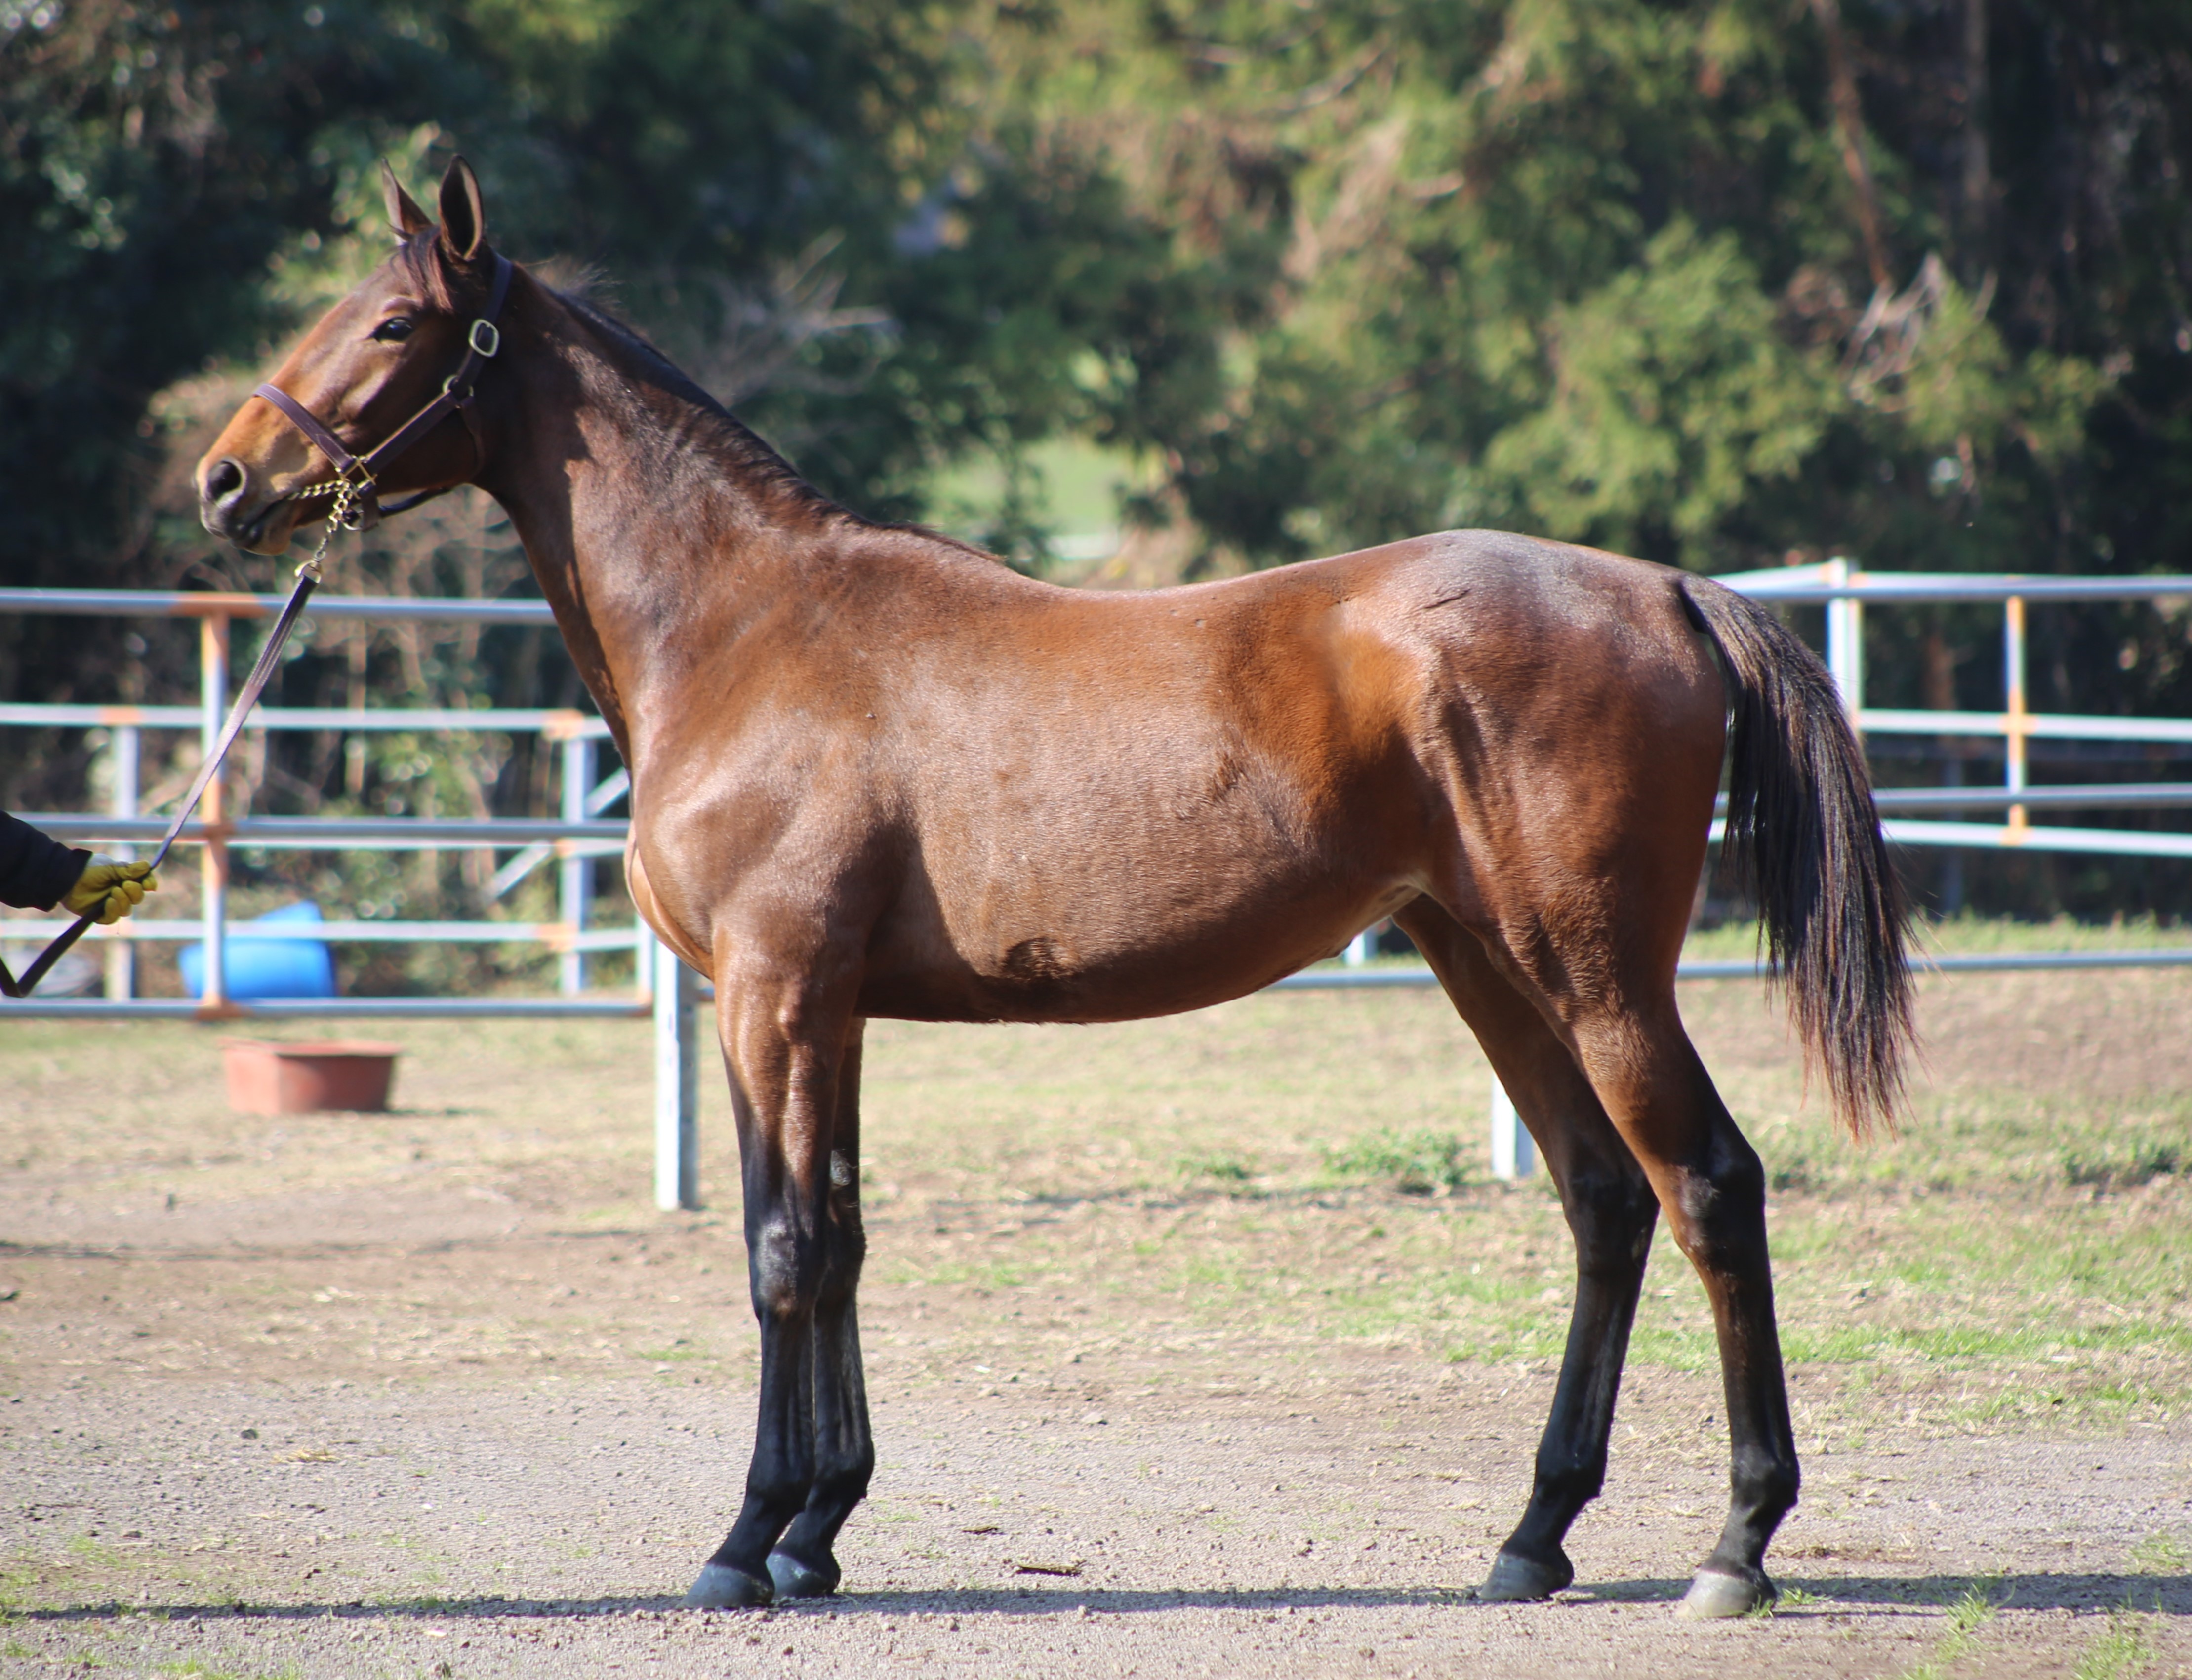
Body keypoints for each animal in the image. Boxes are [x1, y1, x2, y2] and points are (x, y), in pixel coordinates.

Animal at [206, 164, 1920, 1621]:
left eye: (393, 324)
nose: (227, 479)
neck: (747, 630)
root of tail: (1663, 590)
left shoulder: (769, 991)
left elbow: (778, 1248)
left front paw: (747, 1542)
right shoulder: (831, 1010)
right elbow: (840, 1234)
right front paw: (821, 1529)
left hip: (1595, 973)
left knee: (1708, 1187)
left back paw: (1734, 1546)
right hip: (1484, 960)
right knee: (1603, 1201)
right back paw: (1531, 1537)